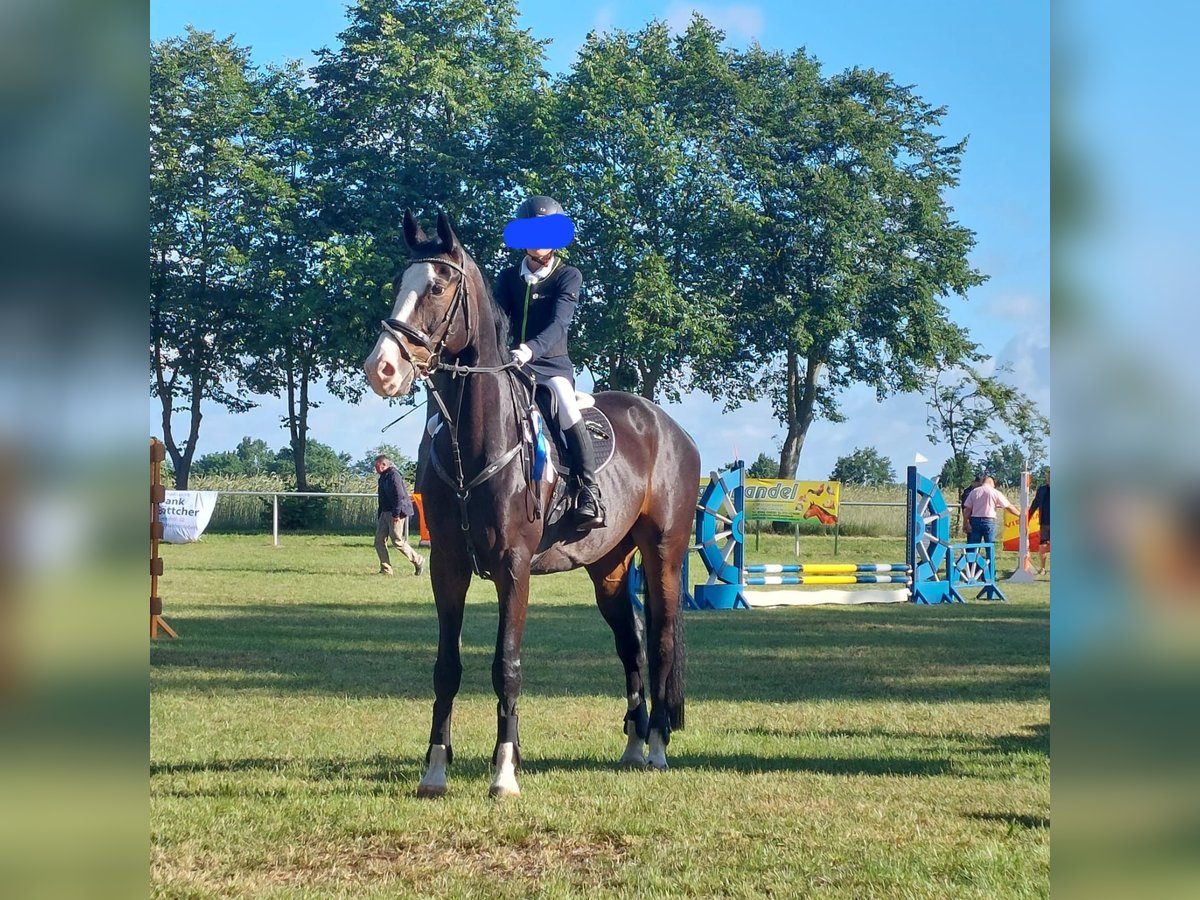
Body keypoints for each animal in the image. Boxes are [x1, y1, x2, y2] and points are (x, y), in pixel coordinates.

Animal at [360, 210, 700, 796]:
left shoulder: (513, 568)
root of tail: (669, 426)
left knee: (659, 642)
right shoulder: (448, 567)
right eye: (399, 282)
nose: (381, 369)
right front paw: (435, 769)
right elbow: (446, 666)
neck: (474, 442)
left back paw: (656, 746)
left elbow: (507, 665)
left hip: (663, 555)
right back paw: (634, 744)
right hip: (609, 566)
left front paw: (504, 772)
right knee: (630, 643)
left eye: (438, 287)